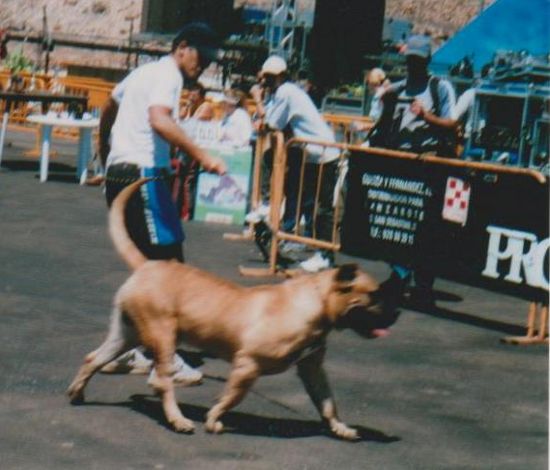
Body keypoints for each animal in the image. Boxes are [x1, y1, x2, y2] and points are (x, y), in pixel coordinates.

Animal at [69, 179, 396, 440]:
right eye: (373, 294)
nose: (396, 313)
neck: (316, 301)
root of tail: (146, 265)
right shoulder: (247, 365)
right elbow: (232, 397)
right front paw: (214, 420)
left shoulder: (312, 368)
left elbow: (327, 402)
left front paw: (341, 428)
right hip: (162, 334)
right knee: (160, 380)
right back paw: (178, 420)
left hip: (127, 333)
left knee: (94, 358)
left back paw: (77, 392)